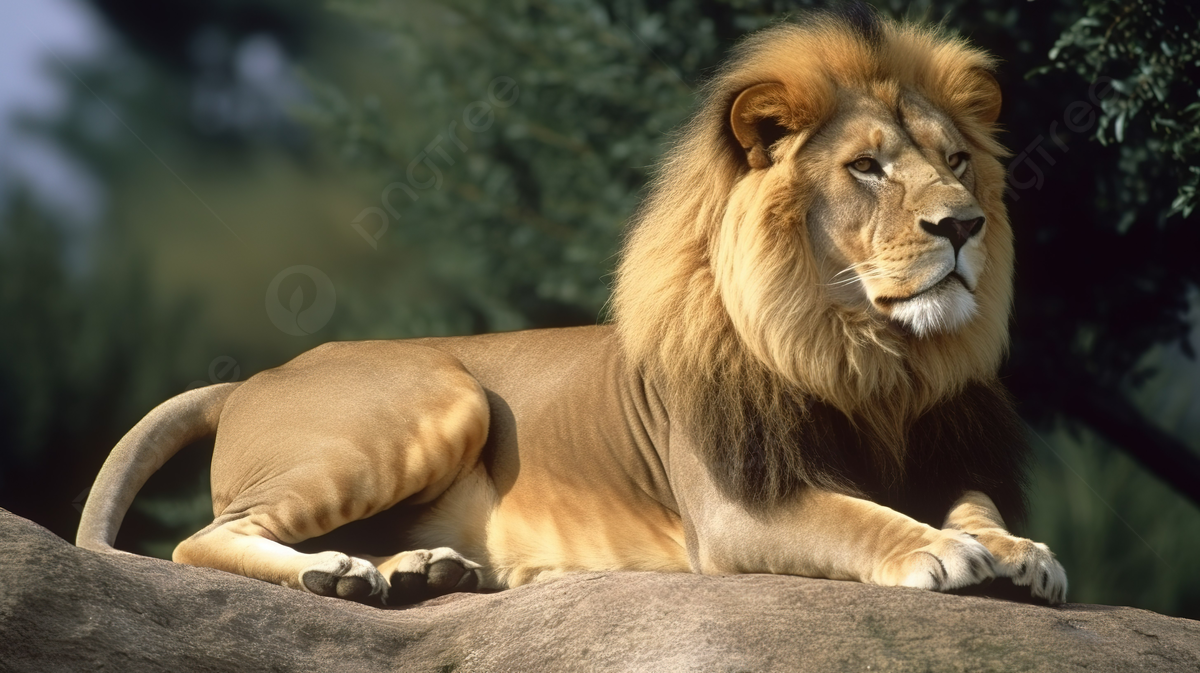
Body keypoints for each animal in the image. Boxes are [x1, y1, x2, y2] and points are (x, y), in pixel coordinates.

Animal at [77, 9, 1067, 606]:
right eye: (866, 167)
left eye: (957, 159)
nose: (964, 223)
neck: (870, 357)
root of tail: (253, 376)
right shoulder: (738, 509)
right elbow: (856, 515)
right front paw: (936, 550)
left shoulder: (943, 448)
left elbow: (974, 503)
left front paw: (1023, 550)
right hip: (441, 399)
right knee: (202, 539)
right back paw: (333, 570)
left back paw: (415, 570)